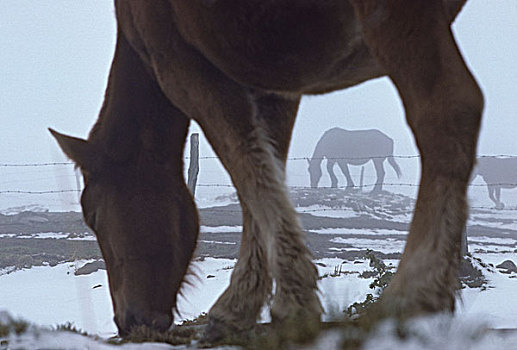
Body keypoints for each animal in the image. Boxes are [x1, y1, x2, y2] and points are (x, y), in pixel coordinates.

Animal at [50, 0, 482, 342]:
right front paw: (242, 305)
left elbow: (247, 166)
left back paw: (412, 295)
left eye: (92, 216)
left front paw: (289, 301)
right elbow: (265, 169)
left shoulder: (183, 68)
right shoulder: (274, 84)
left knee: (447, 111)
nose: (129, 321)